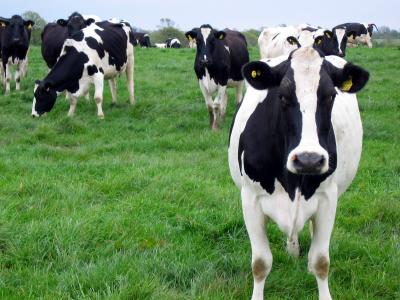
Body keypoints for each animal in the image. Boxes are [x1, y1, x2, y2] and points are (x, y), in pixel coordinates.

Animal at [228, 45, 368, 300]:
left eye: (330, 96)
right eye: (282, 96)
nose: (308, 159)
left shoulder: (328, 199)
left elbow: (321, 261)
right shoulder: (250, 199)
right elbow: (260, 263)